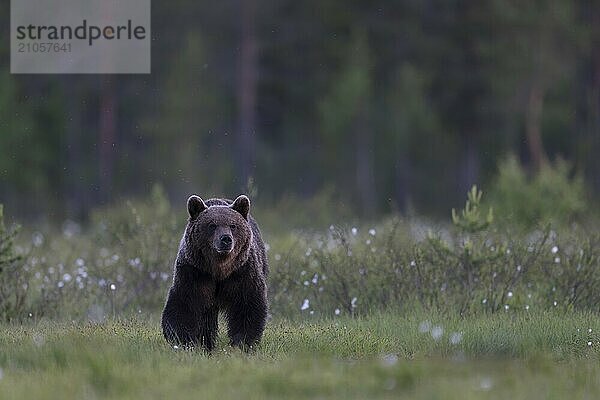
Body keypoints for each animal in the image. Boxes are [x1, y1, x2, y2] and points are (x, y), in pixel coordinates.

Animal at [162, 194, 270, 350]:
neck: (219, 269)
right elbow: (184, 304)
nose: (226, 239)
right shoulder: (195, 272)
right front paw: (183, 340)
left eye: (233, 225)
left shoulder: (243, 272)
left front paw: (242, 343)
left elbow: (247, 305)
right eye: (212, 225)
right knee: (206, 319)